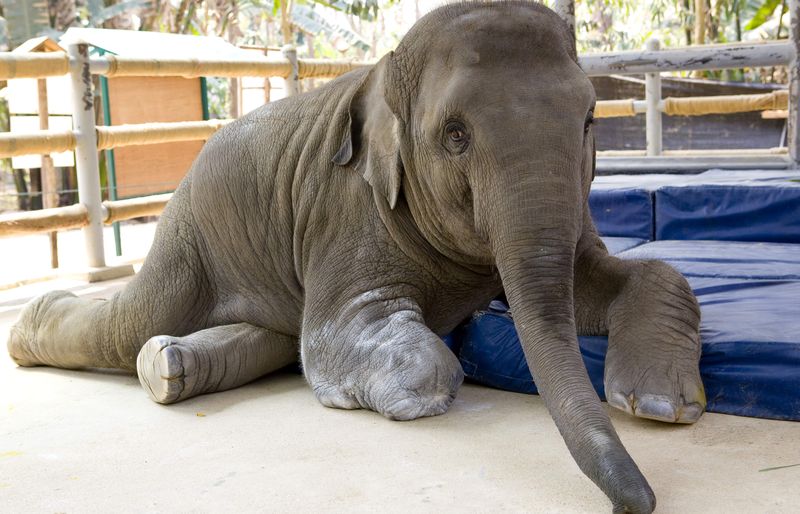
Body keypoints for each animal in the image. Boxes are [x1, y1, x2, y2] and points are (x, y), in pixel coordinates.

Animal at [7, 2, 705, 512]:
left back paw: (168, 367)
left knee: (262, 337)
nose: (632, 504)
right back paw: (41, 328)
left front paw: (662, 406)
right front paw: (410, 397)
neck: (384, 70)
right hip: (192, 230)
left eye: (590, 119)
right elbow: (348, 338)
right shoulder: (347, 208)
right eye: (455, 135)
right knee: (130, 325)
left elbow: (648, 274)